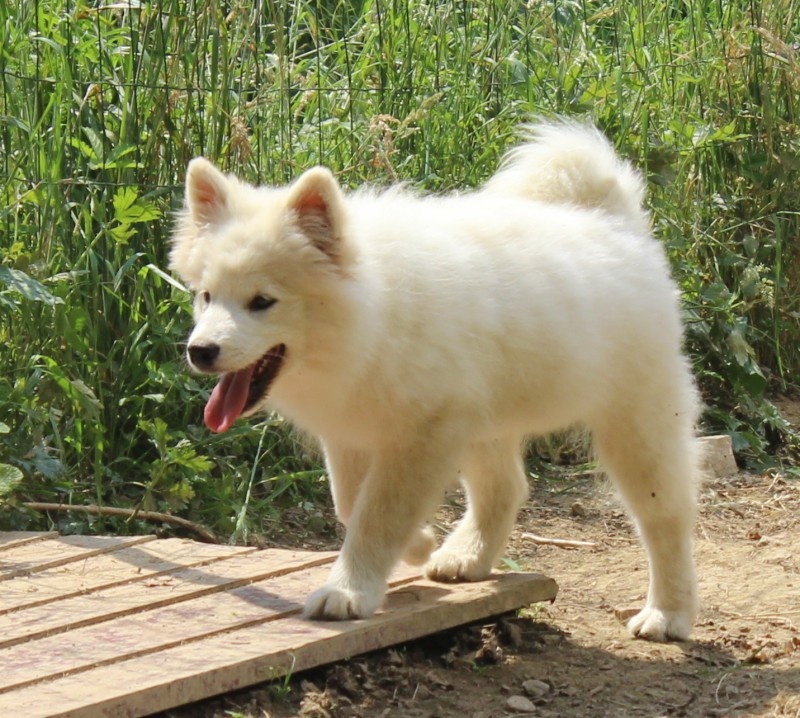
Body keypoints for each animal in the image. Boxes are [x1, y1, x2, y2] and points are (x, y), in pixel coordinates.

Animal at [170, 121, 700, 644]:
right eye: (206, 296)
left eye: (262, 302)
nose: (200, 351)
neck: (371, 312)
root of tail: (615, 220)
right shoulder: (352, 430)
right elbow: (351, 503)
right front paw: (419, 542)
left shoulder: (423, 434)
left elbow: (378, 514)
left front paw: (348, 592)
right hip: (485, 423)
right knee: (505, 488)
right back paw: (467, 556)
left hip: (635, 420)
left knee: (665, 518)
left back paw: (668, 615)